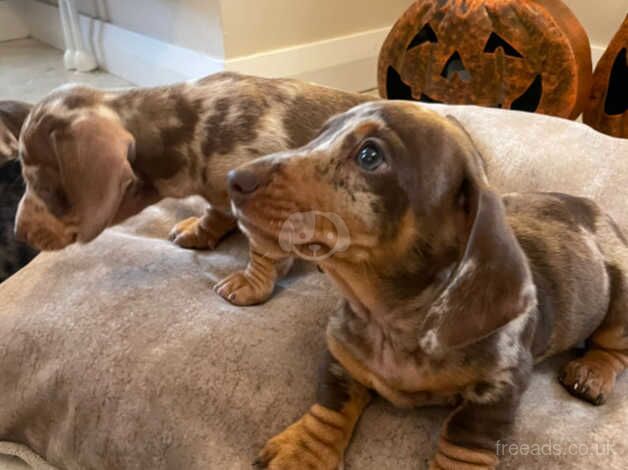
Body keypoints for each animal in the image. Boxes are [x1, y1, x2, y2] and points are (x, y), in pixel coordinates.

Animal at [9, 71, 370, 302]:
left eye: (40, 182)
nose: (18, 233)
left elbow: (264, 252)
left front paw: (245, 286)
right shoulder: (217, 193)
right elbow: (215, 213)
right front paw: (194, 230)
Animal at [229, 101, 628, 468]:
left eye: (370, 155)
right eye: (319, 134)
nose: (234, 179)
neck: (392, 319)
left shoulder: (499, 388)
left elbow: (463, 440)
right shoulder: (342, 354)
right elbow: (331, 403)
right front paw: (302, 453)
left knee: (613, 347)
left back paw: (592, 372)